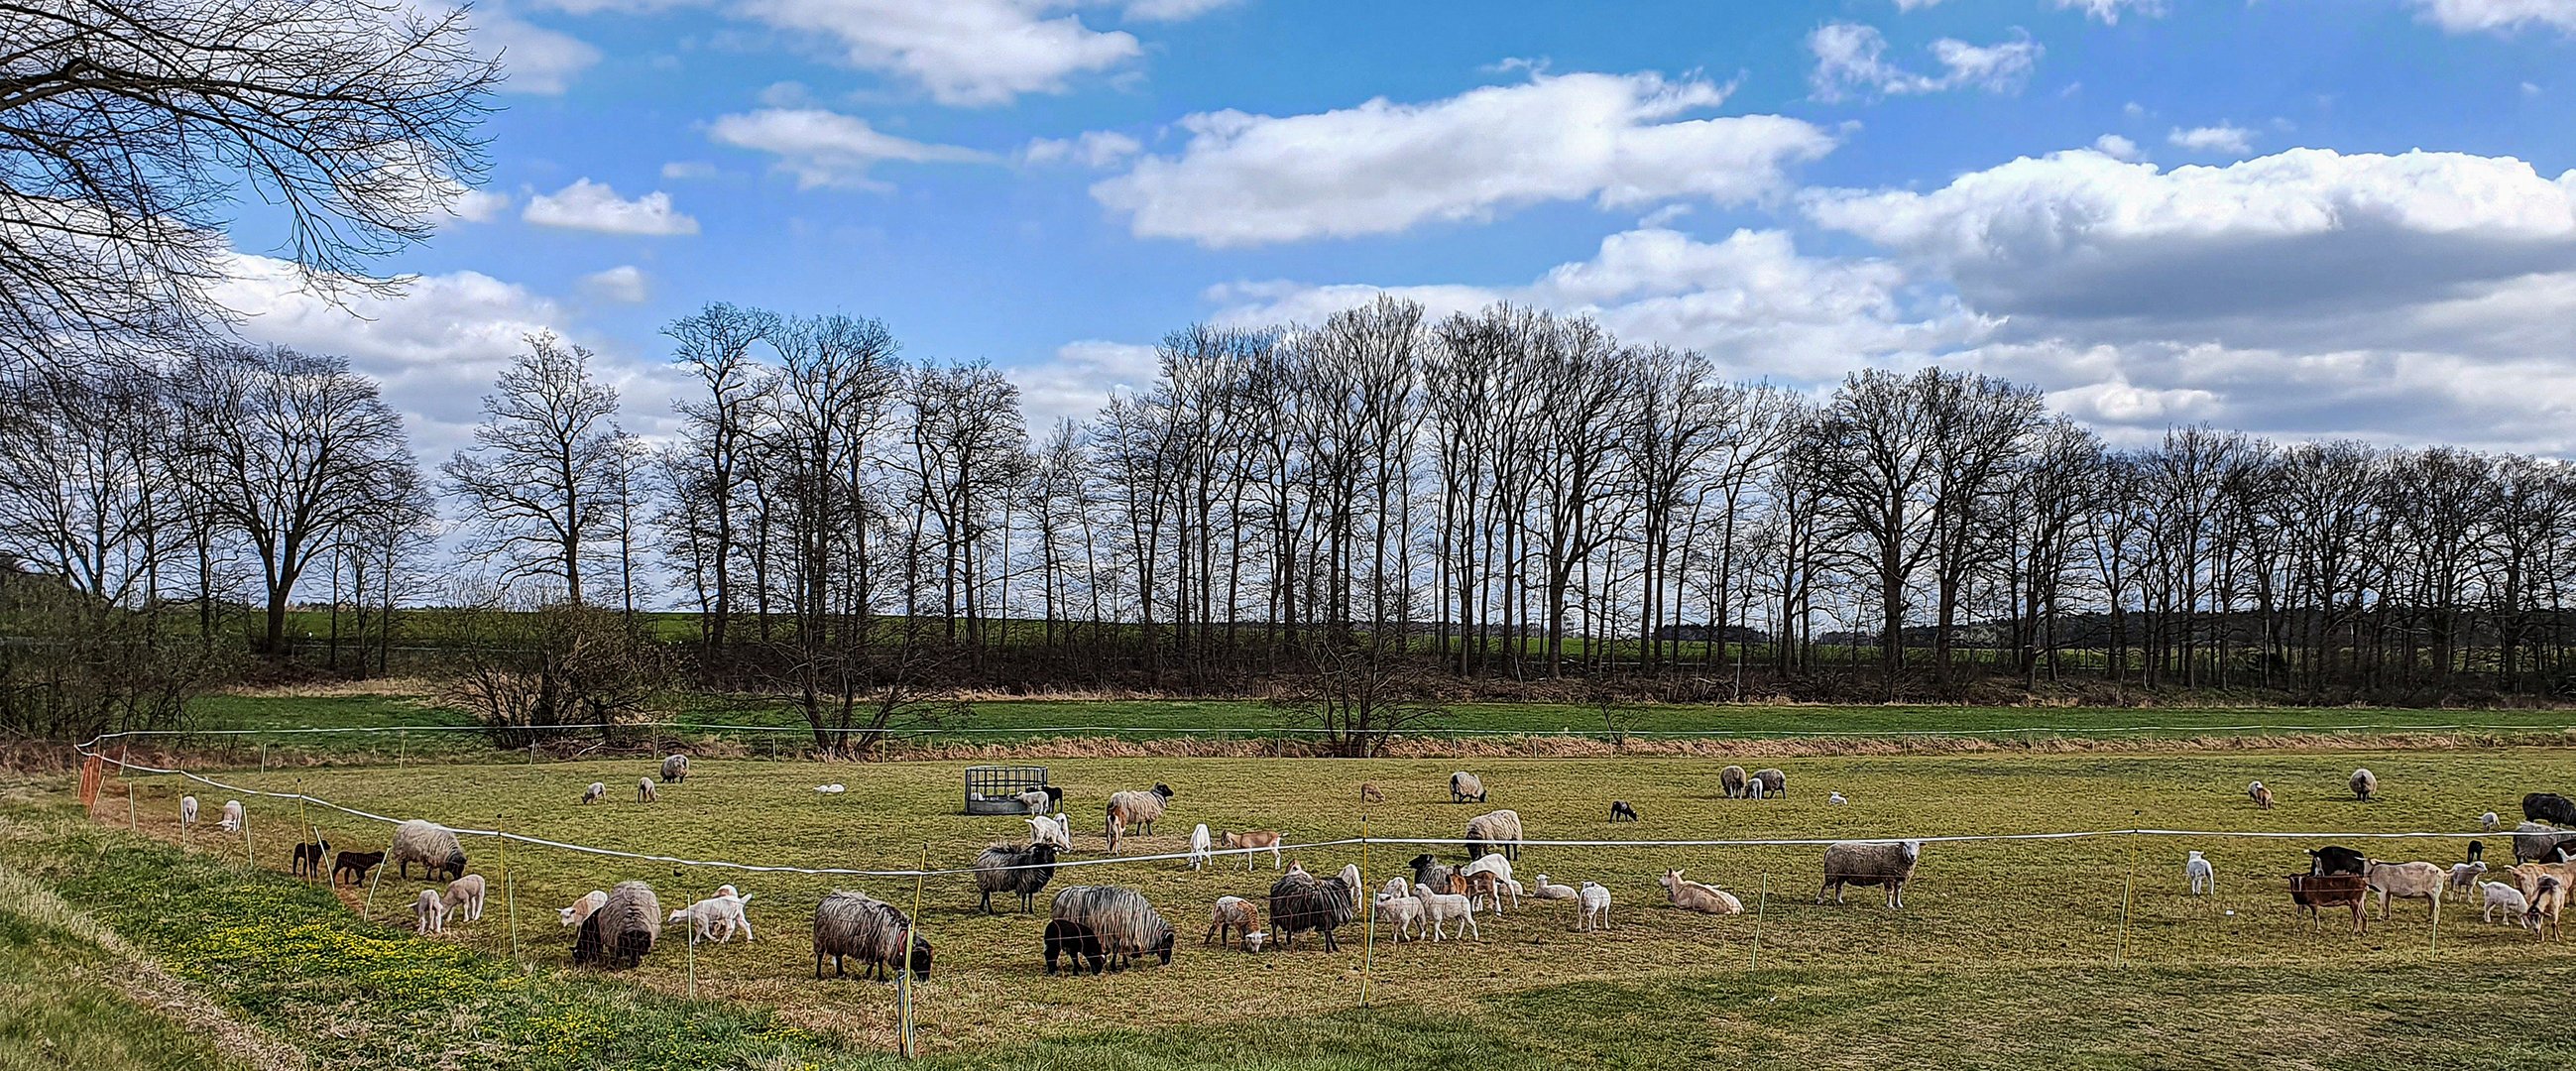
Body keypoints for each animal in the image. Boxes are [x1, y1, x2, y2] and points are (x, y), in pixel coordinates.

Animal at [1045, 886, 1179, 968]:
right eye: (1167, 944)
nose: (1167, 962)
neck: (1144, 924)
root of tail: (1059, 897)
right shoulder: (1123, 935)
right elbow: (1121, 951)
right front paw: (1122, 965)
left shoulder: (1117, 935)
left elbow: (1116, 951)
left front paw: (1114, 964)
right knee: (1072, 953)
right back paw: (1078, 967)